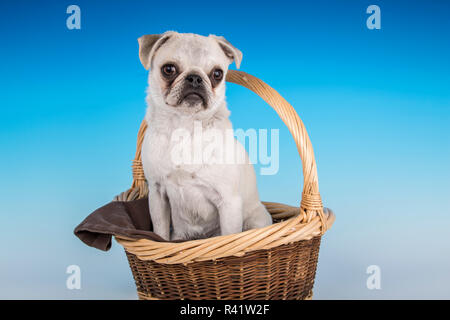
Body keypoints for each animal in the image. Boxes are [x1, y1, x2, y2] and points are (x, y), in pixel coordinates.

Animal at [138, 31, 270, 240]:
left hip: (256, 219)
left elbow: (229, 236)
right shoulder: (157, 195)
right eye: (168, 69)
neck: (185, 125)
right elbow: (160, 233)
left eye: (217, 74)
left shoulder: (229, 202)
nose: (195, 78)